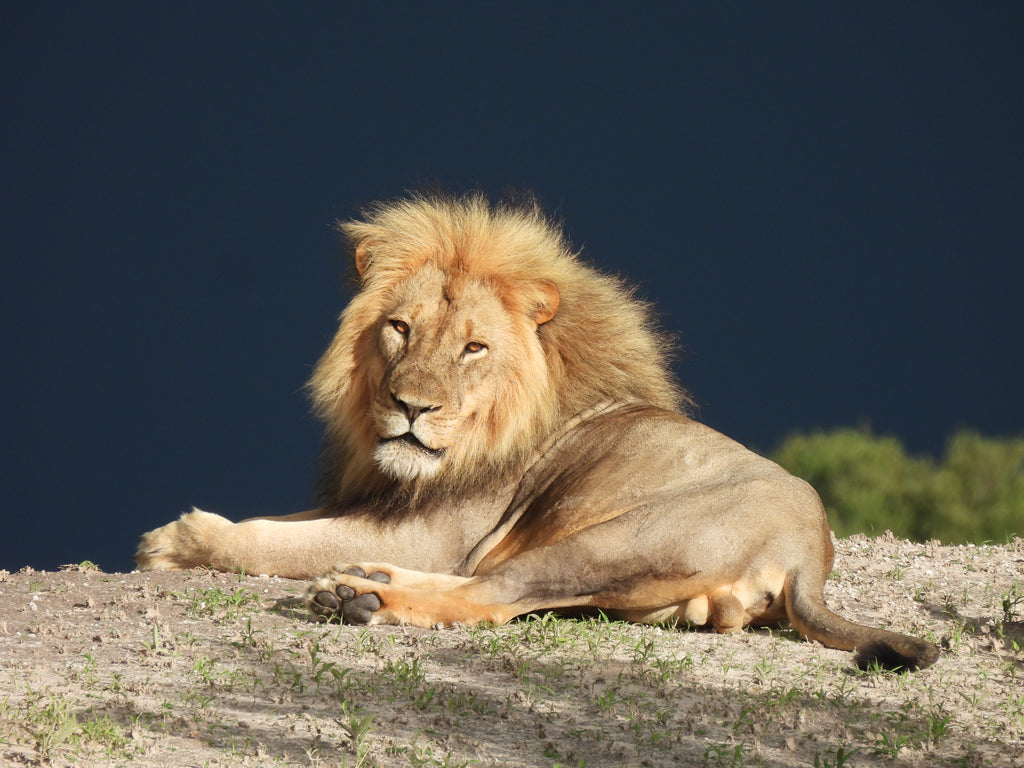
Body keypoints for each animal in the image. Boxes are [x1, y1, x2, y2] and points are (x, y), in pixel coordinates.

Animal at [135, 193, 939, 671]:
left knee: (491, 596)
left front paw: (176, 541)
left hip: (609, 540)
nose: (411, 407)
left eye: (473, 348)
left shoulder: (431, 532)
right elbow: (288, 522)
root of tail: (809, 555)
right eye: (400, 329)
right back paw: (366, 584)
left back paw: (360, 597)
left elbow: (275, 540)